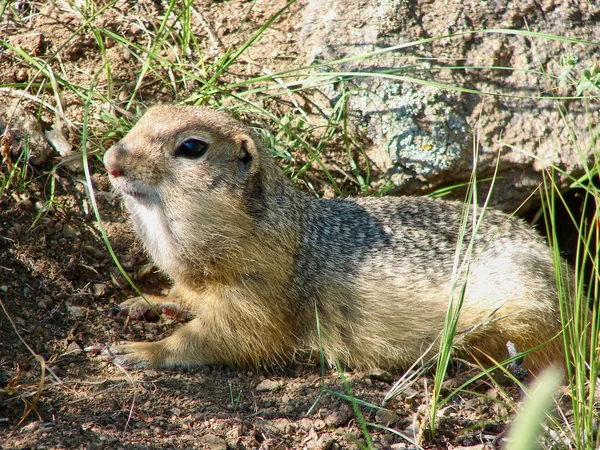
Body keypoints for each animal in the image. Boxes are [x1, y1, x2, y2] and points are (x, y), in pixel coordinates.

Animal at [98, 104, 568, 372]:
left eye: (192, 147)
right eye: (141, 118)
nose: (109, 160)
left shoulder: (256, 297)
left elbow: (221, 338)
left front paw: (141, 350)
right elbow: (182, 297)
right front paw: (146, 301)